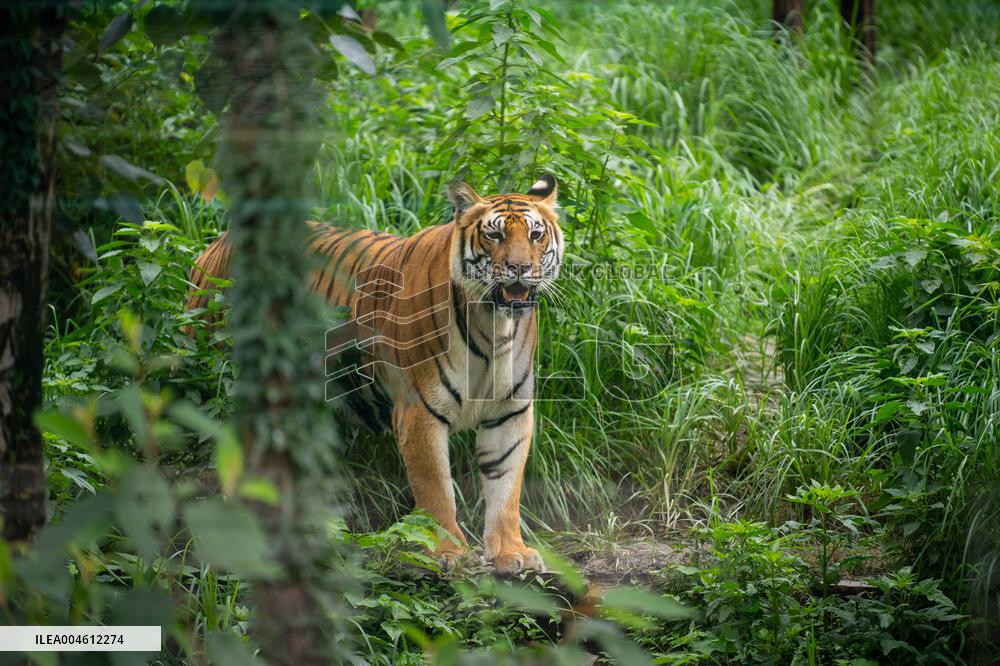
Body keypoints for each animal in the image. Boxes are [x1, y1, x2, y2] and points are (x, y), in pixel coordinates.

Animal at [186, 175, 564, 574]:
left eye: (535, 235)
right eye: (494, 235)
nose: (520, 268)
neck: (493, 325)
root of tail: (222, 240)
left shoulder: (510, 413)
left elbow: (506, 487)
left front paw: (511, 552)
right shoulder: (419, 411)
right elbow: (435, 487)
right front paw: (448, 552)